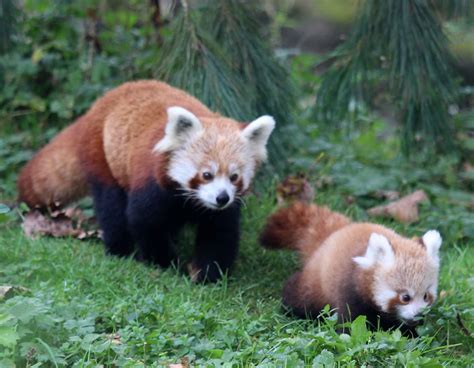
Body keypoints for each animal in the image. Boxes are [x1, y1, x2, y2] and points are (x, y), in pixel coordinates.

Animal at [18, 80, 276, 282]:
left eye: (234, 177)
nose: (222, 197)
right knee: (111, 209)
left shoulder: (221, 210)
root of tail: (99, 105)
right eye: (206, 174)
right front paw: (166, 264)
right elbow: (145, 221)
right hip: (102, 156)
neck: (192, 201)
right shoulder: (152, 184)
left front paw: (208, 274)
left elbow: (219, 234)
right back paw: (119, 249)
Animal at [260, 201, 440, 334]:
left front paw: (411, 334)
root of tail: (335, 233)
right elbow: (350, 321)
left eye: (426, 296)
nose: (419, 315)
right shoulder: (348, 289)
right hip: (314, 286)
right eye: (405, 297)